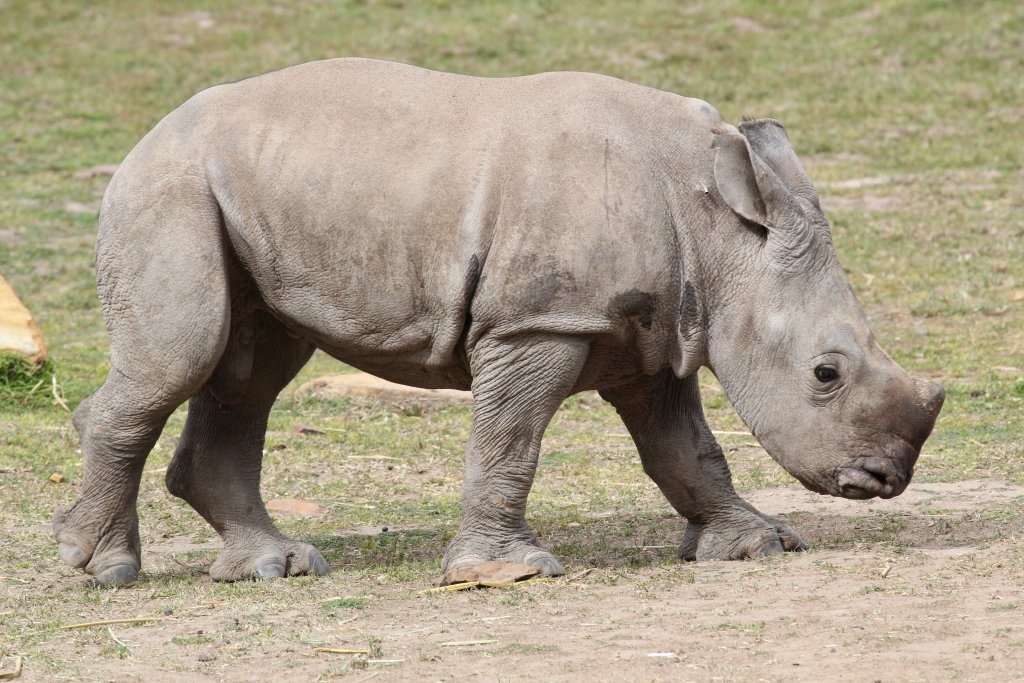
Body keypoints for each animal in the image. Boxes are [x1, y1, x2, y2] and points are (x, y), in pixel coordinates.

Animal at [54, 58, 944, 586]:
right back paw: (105, 571)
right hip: (169, 190)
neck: (722, 232)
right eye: (826, 373)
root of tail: (144, 138)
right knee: (185, 358)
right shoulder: (538, 322)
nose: (883, 479)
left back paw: (280, 567)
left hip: (243, 192)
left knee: (251, 370)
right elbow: (511, 438)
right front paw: (507, 572)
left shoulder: (654, 337)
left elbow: (689, 451)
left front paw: (758, 544)